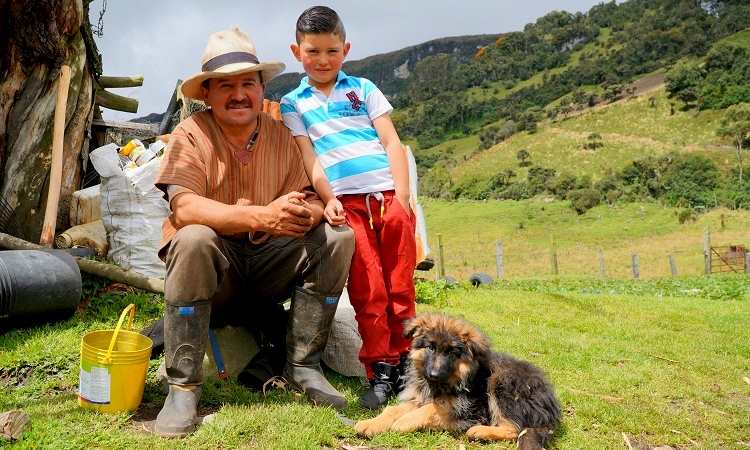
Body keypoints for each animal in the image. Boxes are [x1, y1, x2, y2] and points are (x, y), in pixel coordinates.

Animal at [356, 312, 560, 450]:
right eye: (430, 348)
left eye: (452, 353)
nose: (433, 374)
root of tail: (550, 408)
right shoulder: (418, 399)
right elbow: (392, 410)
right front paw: (371, 423)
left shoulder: (470, 410)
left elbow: (431, 408)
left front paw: (403, 421)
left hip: (503, 382)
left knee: (514, 429)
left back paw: (480, 432)